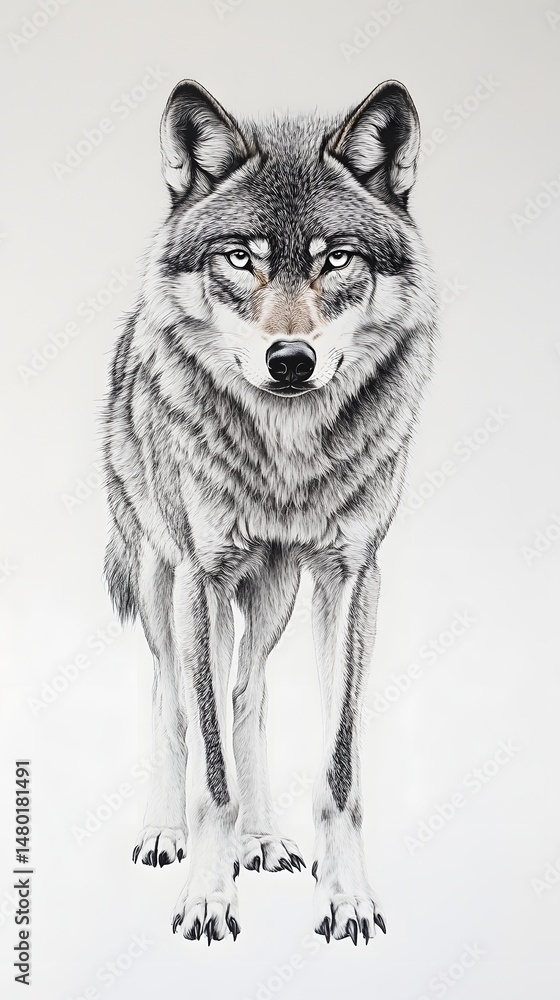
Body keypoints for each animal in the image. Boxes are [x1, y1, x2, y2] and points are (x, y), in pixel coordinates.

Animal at [102, 78, 437, 946]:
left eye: (336, 258)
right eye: (240, 257)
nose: (291, 360)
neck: (286, 457)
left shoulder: (352, 578)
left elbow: (338, 769)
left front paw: (347, 898)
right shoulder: (203, 577)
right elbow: (210, 766)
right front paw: (206, 897)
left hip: (278, 596)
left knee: (246, 695)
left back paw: (260, 841)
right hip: (161, 584)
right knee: (175, 700)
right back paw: (165, 834)